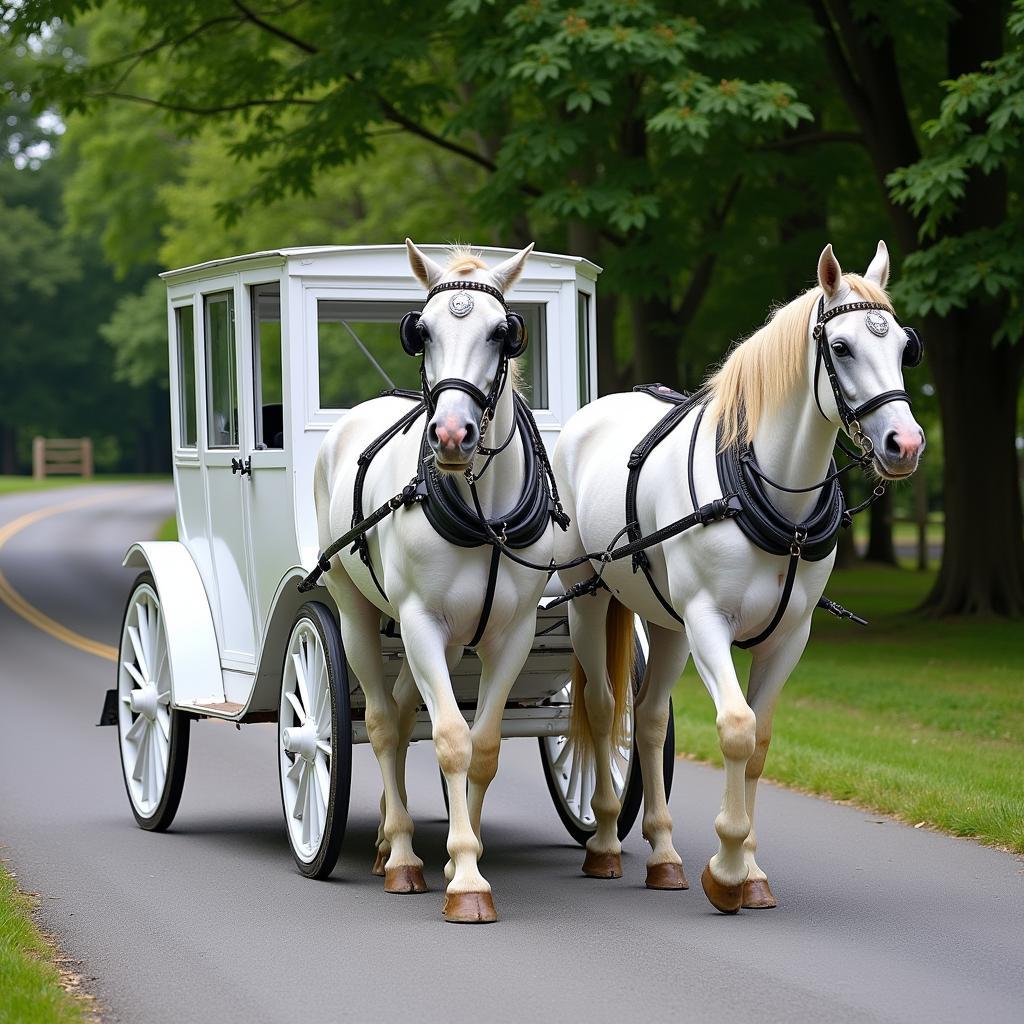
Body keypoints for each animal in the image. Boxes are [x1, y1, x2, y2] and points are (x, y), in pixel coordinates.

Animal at [315, 241, 552, 929]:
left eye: (504, 333)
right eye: (420, 333)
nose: (450, 435)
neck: (483, 508)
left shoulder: (512, 633)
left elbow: (486, 745)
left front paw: (459, 856)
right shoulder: (420, 620)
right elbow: (449, 740)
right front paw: (465, 877)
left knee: (399, 708)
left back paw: (389, 843)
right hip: (360, 614)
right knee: (382, 722)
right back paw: (398, 855)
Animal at [557, 245, 925, 913]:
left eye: (905, 348)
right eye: (841, 347)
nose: (904, 444)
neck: (781, 506)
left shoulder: (789, 637)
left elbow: (760, 743)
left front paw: (749, 867)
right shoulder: (709, 622)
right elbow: (735, 729)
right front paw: (727, 867)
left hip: (667, 621)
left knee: (648, 718)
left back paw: (664, 854)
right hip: (589, 599)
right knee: (601, 708)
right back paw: (603, 838)